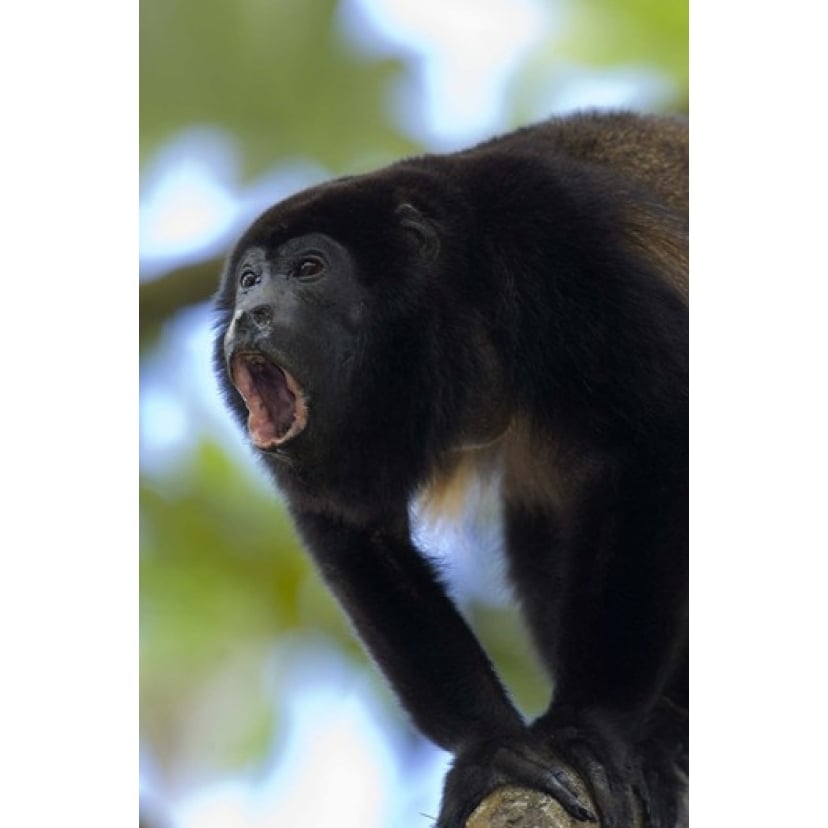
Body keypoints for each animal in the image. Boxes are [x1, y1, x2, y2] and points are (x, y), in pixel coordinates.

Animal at [213, 111, 684, 828]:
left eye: (308, 268)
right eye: (248, 280)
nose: (250, 316)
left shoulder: (560, 246)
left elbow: (656, 439)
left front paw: (589, 728)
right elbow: (356, 530)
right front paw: (491, 749)